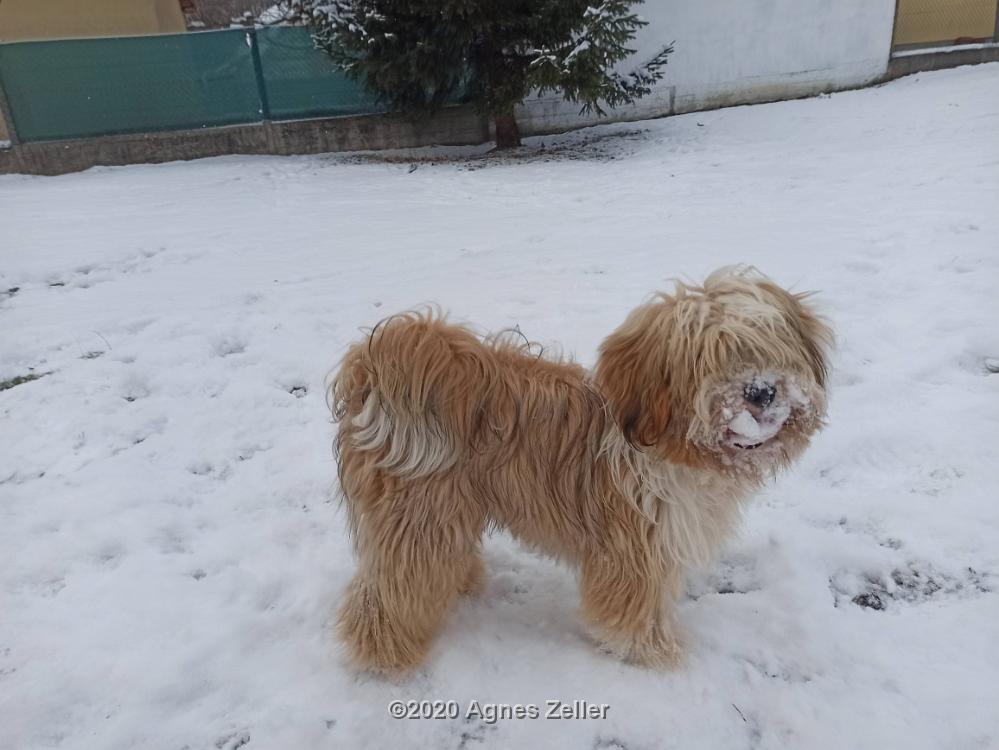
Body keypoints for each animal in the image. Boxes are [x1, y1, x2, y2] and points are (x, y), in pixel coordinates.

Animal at [332, 268, 832, 672]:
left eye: (768, 347)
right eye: (710, 360)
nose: (762, 391)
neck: (674, 448)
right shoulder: (632, 547)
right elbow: (635, 609)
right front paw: (651, 653)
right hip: (418, 515)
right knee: (388, 589)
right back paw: (381, 656)